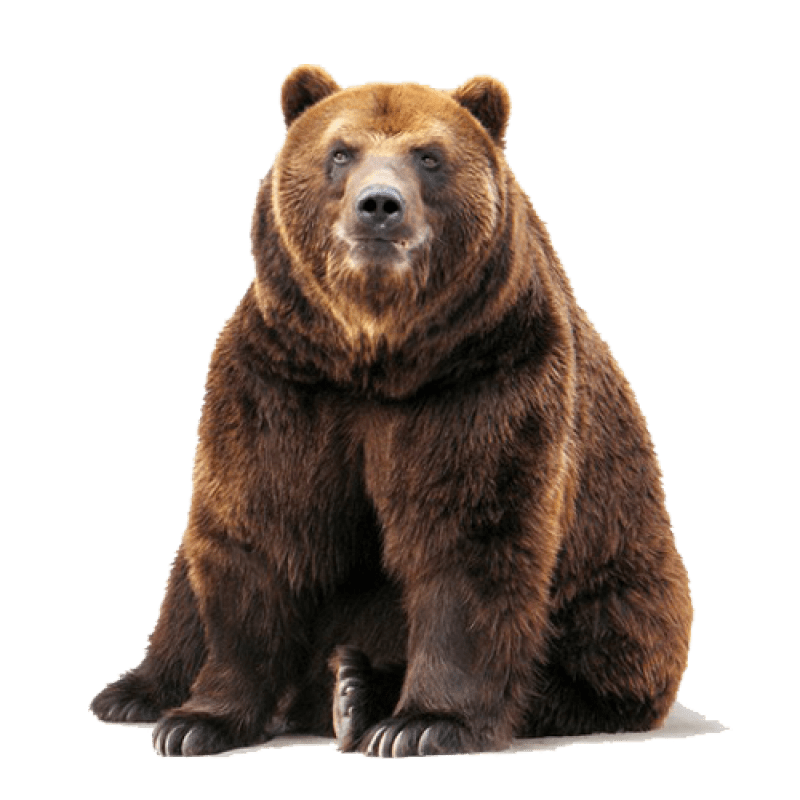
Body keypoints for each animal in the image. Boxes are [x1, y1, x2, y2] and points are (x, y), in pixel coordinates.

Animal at [89, 65, 694, 758]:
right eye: (340, 152)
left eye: (428, 156)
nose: (379, 205)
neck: (376, 355)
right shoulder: (283, 380)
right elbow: (258, 529)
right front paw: (197, 721)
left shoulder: (485, 378)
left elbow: (470, 538)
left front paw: (422, 722)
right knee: (186, 577)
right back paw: (138, 692)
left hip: (623, 582)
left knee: (593, 650)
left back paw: (358, 689)